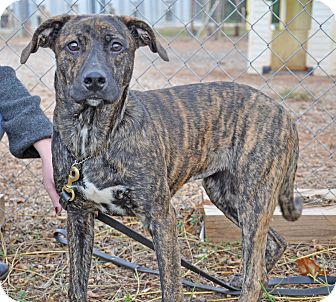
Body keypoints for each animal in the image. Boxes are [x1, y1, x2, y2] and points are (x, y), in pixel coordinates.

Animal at [22, 13, 304, 300]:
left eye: (116, 46)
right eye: (73, 46)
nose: (94, 80)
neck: (92, 139)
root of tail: (283, 112)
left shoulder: (162, 217)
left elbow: (171, 286)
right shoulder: (79, 216)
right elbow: (76, 286)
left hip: (253, 199)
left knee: (254, 275)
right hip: (225, 195)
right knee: (275, 244)